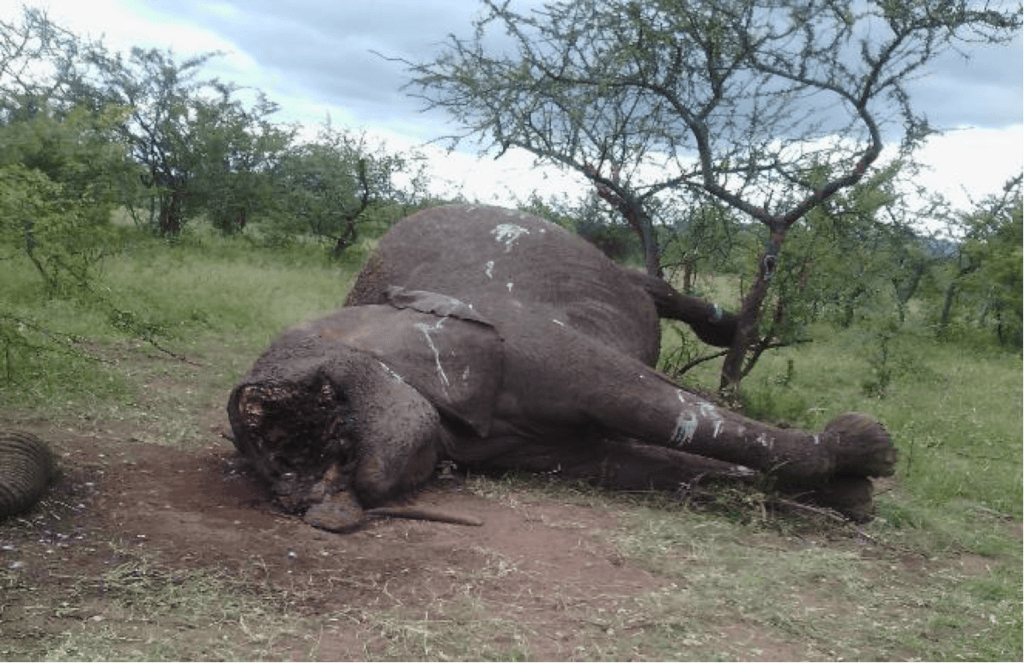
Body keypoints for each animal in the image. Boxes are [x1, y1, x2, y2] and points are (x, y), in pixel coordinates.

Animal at [227, 204, 896, 532]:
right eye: (283, 465)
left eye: (329, 410)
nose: (310, 503)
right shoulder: (517, 446)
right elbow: (647, 462)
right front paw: (848, 494)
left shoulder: (518, 340)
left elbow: (665, 409)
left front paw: (869, 450)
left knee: (646, 287)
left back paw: (729, 329)